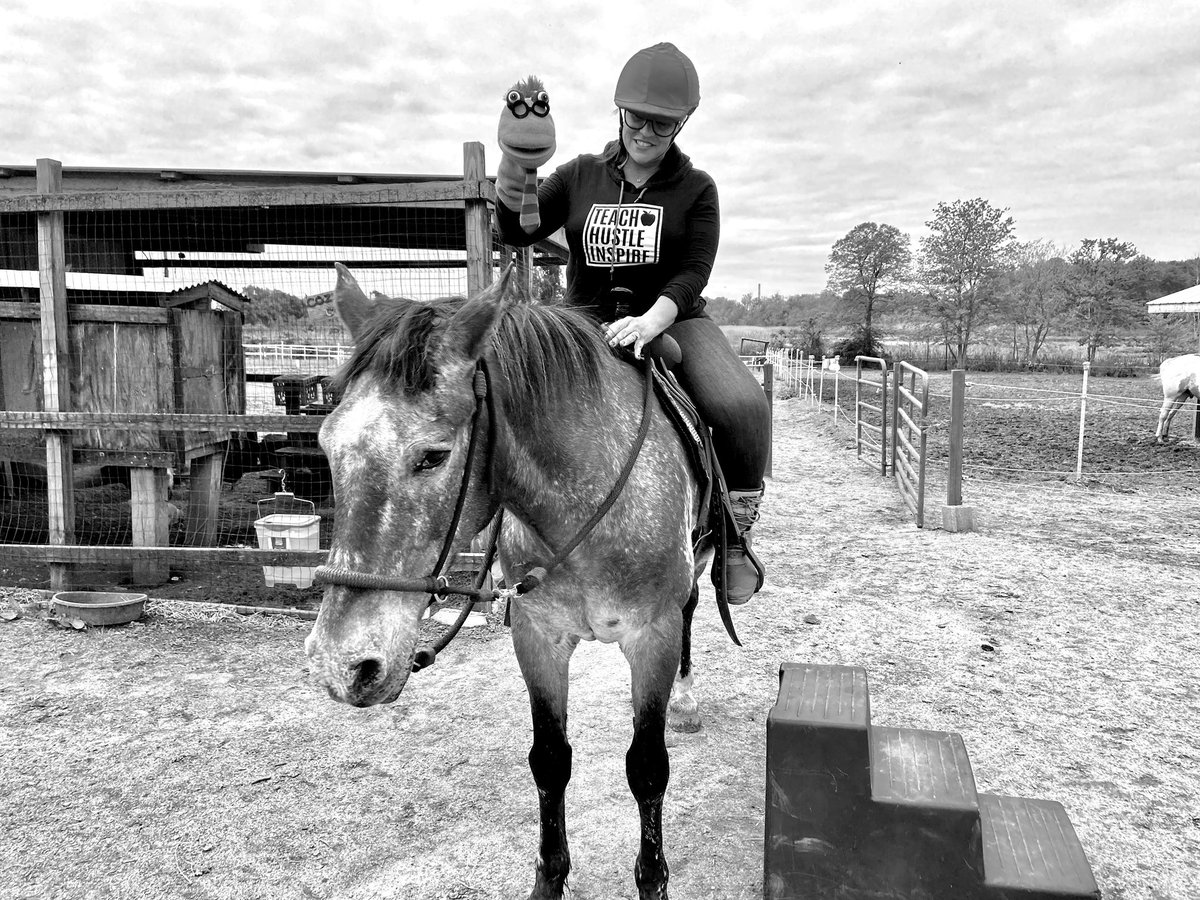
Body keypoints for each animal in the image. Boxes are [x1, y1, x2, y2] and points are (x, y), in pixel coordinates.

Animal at [305, 263, 714, 900]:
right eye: (326, 445)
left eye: (433, 456)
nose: (341, 667)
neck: (584, 502)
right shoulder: (536, 635)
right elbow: (549, 760)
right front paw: (550, 877)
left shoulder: (654, 636)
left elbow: (647, 768)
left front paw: (652, 881)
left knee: (694, 607)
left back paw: (688, 700)